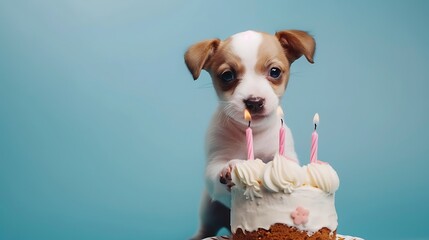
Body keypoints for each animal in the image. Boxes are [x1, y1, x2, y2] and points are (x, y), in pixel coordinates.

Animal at [184, 29, 314, 238]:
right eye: (227, 75)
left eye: (274, 72)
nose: (254, 101)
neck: (254, 132)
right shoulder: (214, 161)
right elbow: (216, 171)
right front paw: (229, 169)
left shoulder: (287, 152)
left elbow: (286, 164)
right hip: (208, 208)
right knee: (206, 227)